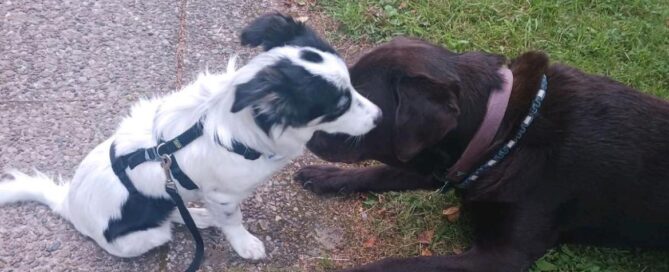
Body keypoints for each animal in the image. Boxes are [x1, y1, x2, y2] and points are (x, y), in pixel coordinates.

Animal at [0, 13, 378, 260]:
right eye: (339, 106)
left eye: (352, 87)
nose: (379, 118)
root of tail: (67, 204)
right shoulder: (223, 196)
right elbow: (234, 220)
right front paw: (245, 244)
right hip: (146, 236)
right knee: (169, 222)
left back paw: (198, 216)